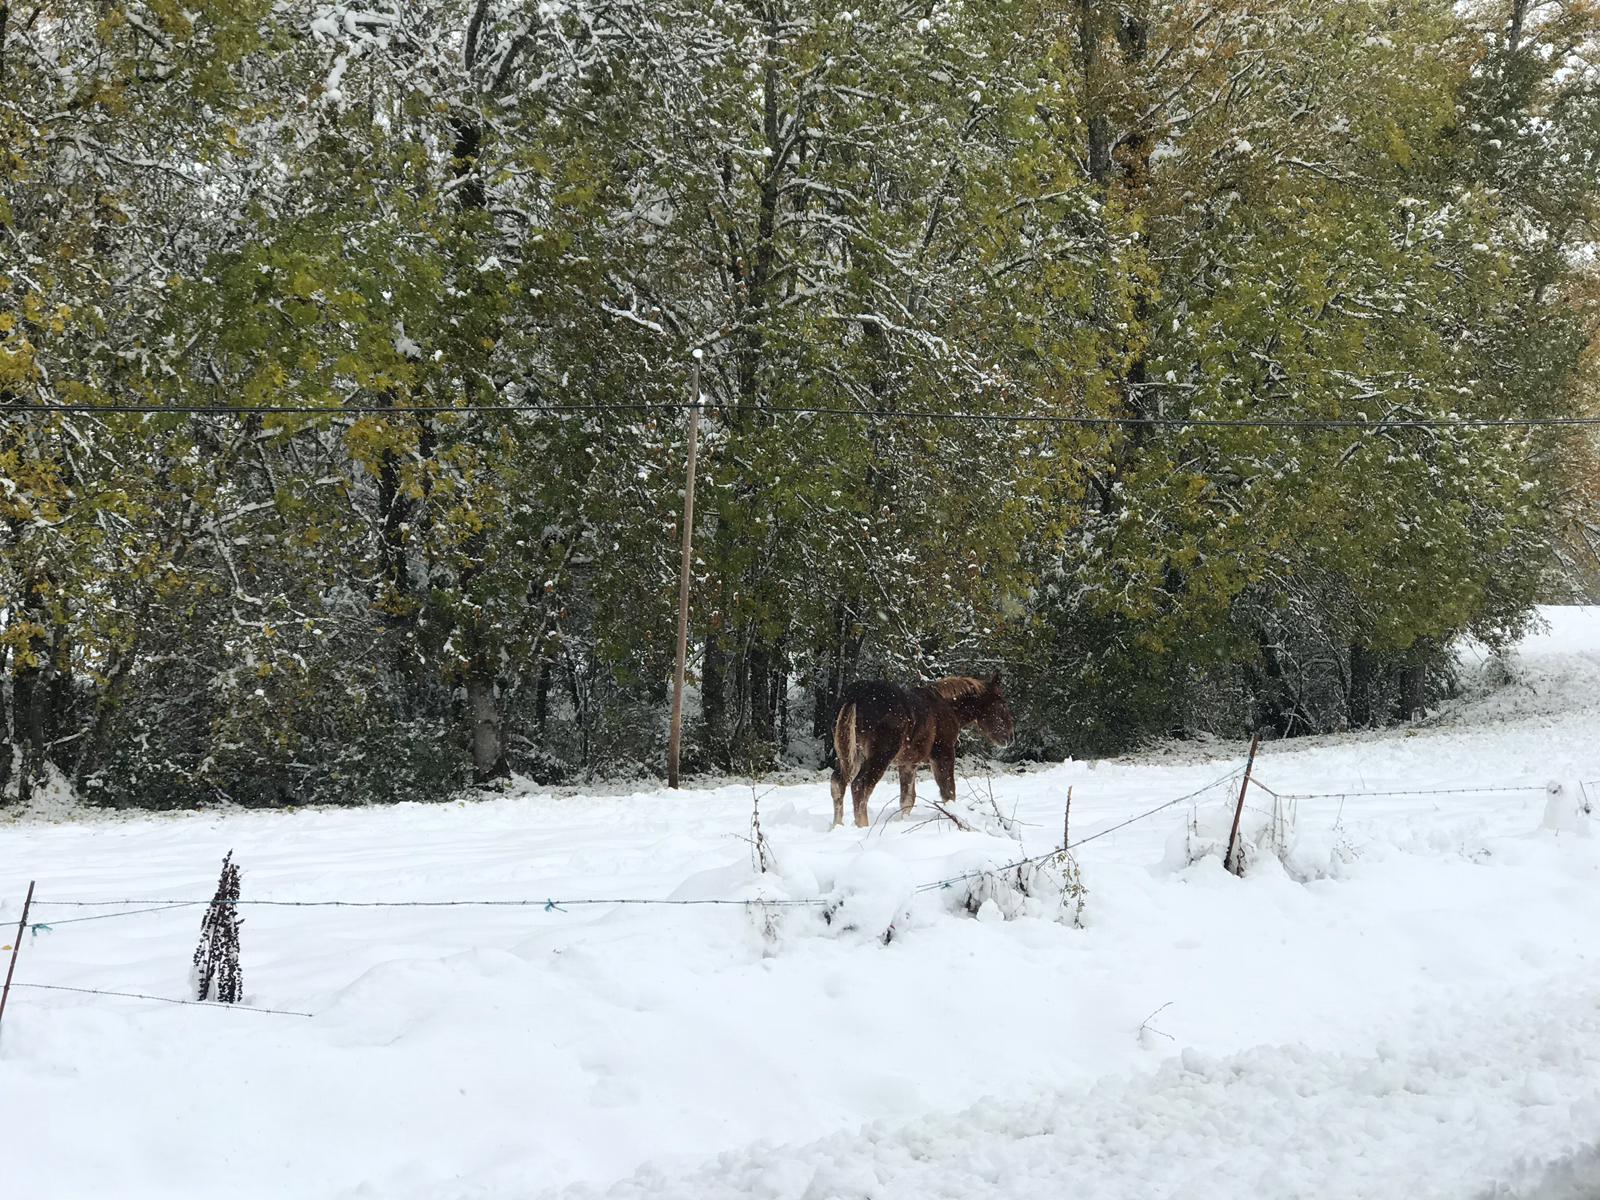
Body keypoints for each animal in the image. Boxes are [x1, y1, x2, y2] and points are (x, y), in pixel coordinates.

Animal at [825, 672, 1011, 832]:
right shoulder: (943, 753)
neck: (949, 707)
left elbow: (907, 799)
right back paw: (863, 826)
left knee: (838, 783)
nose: (1010, 738)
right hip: (880, 755)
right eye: (1002, 702)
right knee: (860, 786)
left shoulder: (908, 763)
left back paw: (836, 826)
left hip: (849, 753)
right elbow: (948, 792)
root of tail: (854, 696)